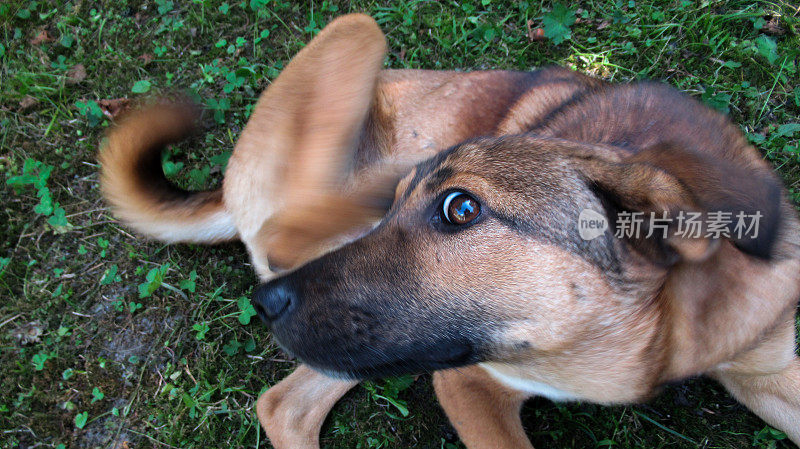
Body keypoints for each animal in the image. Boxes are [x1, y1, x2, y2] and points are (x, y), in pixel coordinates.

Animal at [101, 14, 800, 448]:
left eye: (462, 209)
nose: (268, 304)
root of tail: (229, 178)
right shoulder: (471, 382)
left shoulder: (769, 360)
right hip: (356, 37)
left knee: (285, 404)